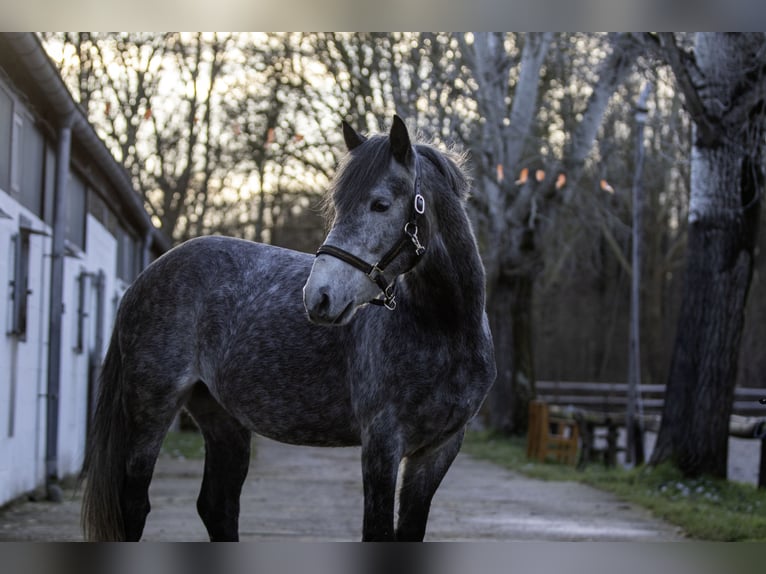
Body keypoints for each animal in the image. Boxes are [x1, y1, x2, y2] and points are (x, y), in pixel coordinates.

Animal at [81, 115, 496, 542]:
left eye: (380, 204)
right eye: (337, 206)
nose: (319, 297)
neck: (445, 329)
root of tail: (145, 277)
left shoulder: (438, 449)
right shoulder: (382, 443)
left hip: (221, 417)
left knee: (217, 506)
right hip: (150, 408)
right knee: (134, 506)